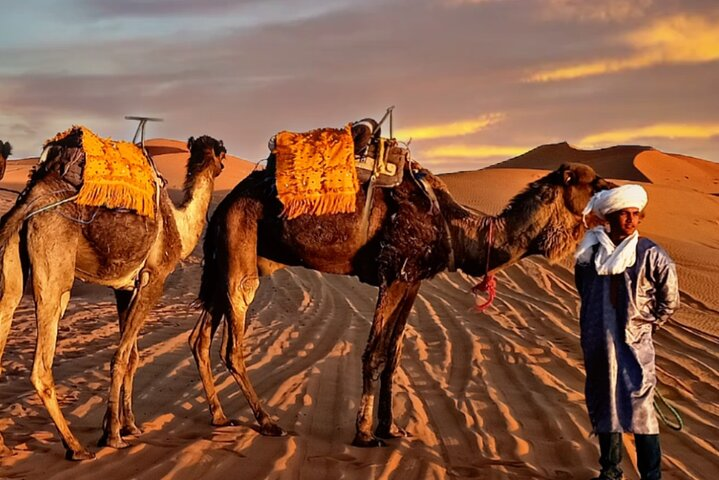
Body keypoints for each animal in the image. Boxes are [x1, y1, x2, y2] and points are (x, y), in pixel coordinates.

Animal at [0, 133, 225, 460]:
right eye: (222, 154)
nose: (221, 166)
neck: (179, 227)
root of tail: (28, 202)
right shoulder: (154, 279)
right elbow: (119, 356)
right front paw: (113, 434)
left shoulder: (124, 288)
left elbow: (133, 356)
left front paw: (129, 425)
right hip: (55, 269)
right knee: (42, 363)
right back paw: (75, 447)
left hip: (12, 266)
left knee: (8, 305)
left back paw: (4, 445)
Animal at [187, 160, 612, 446]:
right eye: (593, 183)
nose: (615, 192)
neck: (457, 229)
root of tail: (222, 207)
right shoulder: (394, 274)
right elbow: (374, 352)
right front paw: (363, 433)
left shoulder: (412, 280)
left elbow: (394, 352)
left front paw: (390, 427)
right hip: (240, 256)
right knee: (231, 346)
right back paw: (266, 421)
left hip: (226, 265)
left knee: (199, 338)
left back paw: (220, 416)